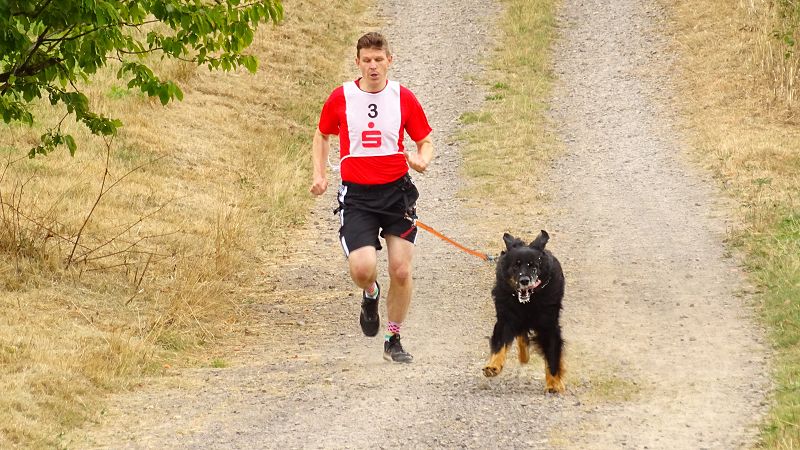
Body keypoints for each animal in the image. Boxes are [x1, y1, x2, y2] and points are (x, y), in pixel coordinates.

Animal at [484, 230, 564, 392]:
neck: (529, 302)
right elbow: (500, 343)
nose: (524, 281)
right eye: (516, 265)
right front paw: (493, 366)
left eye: (534, 265)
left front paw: (554, 383)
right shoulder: (507, 317)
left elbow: (552, 352)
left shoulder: (549, 324)